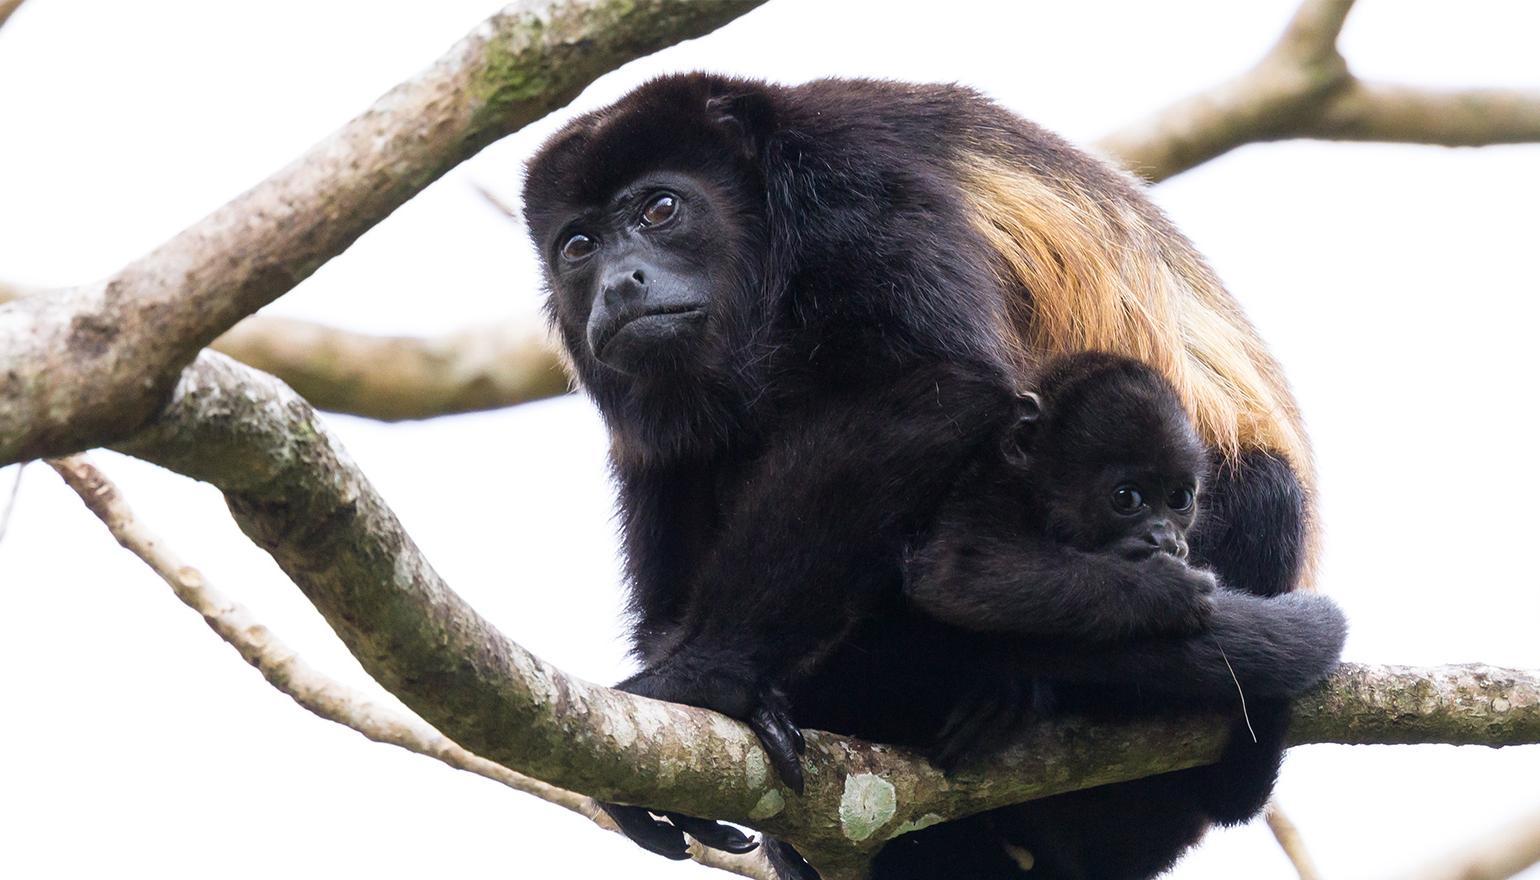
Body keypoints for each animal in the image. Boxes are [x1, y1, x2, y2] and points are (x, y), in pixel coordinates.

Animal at [523, 75, 1342, 880]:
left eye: (661, 209)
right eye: (579, 246)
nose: (618, 284)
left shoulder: (850, 186)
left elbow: (931, 386)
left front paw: (703, 680)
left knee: (1265, 489)